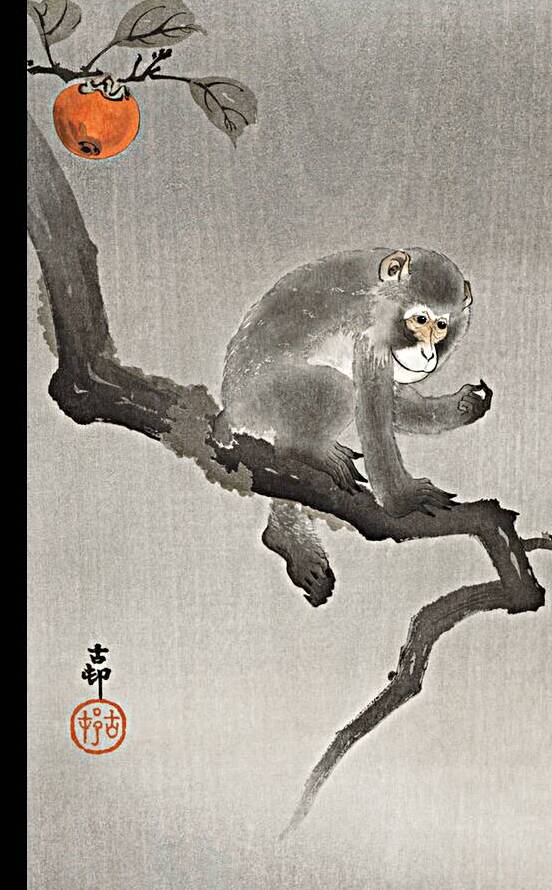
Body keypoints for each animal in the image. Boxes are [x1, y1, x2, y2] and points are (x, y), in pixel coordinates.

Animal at [216, 247, 492, 605]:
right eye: (420, 320)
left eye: (442, 325)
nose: (428, 354)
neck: (379, 295)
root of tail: (229, 409)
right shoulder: (371, 336)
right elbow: (373, 412)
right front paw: (403, 500)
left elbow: (394, 402)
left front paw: (461, 408)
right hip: (262, 399)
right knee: (339, 389)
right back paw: (304, 451)